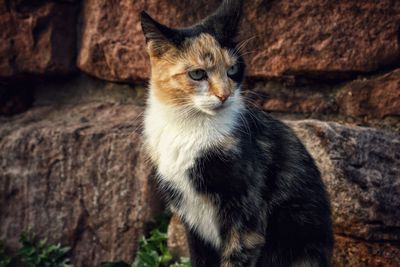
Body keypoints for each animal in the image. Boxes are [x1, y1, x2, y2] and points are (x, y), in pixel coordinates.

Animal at [141, 1, 334, 266]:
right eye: (197, 74)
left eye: (232, 69)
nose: (224, 95)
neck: (189, 127)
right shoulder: (190, 219)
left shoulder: (245, 212)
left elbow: (236, 256)